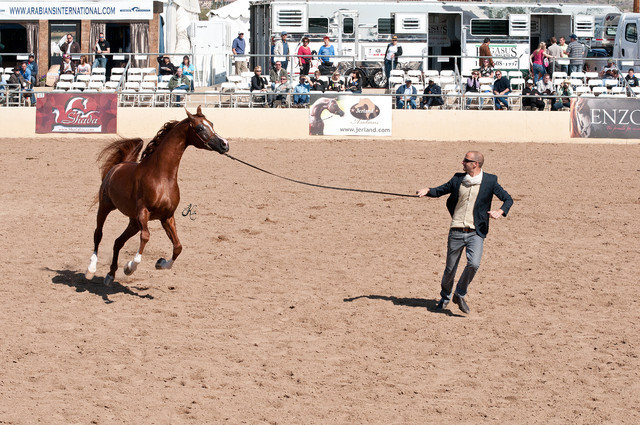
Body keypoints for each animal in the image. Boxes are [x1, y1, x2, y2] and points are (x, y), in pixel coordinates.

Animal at [86, 106, 229, 286]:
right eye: (200, 128)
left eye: (211, 123)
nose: (225, 144)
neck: (161, 177)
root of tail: (117, 167)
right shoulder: (143, 213)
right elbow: (146, 237)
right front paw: (130, 267)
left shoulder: (167, 217)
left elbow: (178, 247)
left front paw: (161, 263)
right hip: (105, 207)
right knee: (98, 234)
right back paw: (91, 269)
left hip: (133, 222)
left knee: (118, 242)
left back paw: (110, 275)